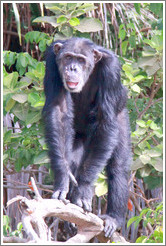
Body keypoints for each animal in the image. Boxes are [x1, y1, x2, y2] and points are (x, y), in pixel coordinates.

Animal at [42, 37, 131, 237]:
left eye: (81, 60)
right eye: (68, 57)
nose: (73, 68)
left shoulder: (111, 69)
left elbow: (105, 121)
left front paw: (83, 190)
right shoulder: (51, 60)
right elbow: (59, 111)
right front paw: (63, 181)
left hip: (122, 117)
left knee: (118, 167)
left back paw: (113, 218)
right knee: (75, 159)